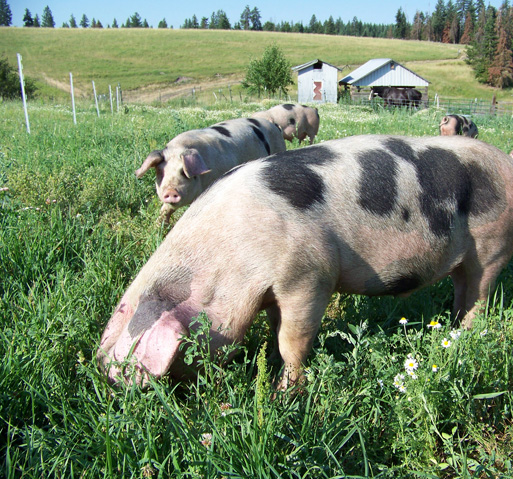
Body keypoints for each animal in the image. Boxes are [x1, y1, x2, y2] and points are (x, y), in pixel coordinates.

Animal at [98, 134, 512, 390]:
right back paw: (448, 332)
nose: (108, 377)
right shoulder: (271, 290)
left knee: (478, 299)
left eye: (125, 310)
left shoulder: (309, 274)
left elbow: (292, 341)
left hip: (492, 245)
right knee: (462, 293)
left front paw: (283, 393)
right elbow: (275, 326)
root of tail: (506, 162)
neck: (227, 258)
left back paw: (461, 340)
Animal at [136, 117, 286, 224]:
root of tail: (273, 125)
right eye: (160, 173)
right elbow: (166, 209)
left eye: (183, 172)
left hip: (279, 147)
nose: (170, 191)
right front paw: (159, 227)